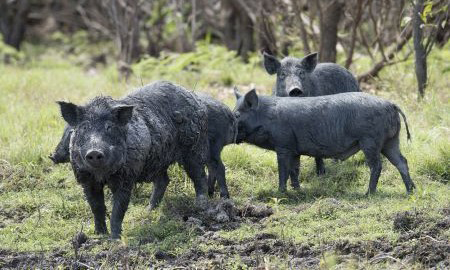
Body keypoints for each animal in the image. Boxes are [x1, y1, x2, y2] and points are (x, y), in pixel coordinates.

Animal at [51, 92, 237, 199]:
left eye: (70, 133)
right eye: (77, 131)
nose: (52, 156)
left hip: (200, 149)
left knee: (209, 171)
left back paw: (212, 200)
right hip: (161, 158)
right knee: (165, 180)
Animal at [234, 89, 416, 195]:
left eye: (237, 114)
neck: (266, 117)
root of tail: (391, 104)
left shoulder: (283, 146)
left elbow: (283, 171)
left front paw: (280, 193)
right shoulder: (294, 150)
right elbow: (294, 170)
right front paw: (297, 190)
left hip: (370, 140)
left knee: (377, 165)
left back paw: (368, 194)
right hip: (390, 141)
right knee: (402, 161)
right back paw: (411, 191)